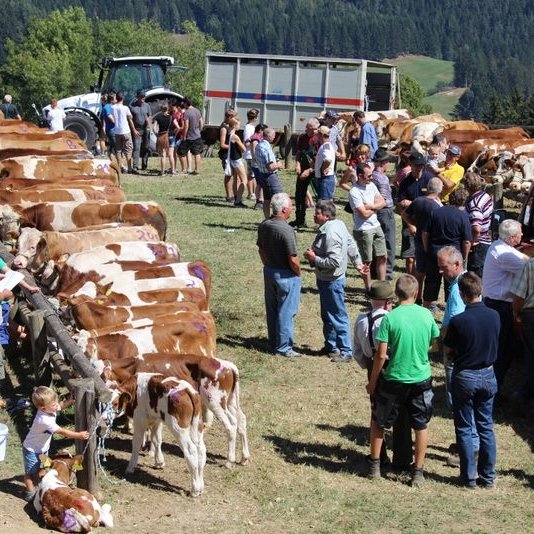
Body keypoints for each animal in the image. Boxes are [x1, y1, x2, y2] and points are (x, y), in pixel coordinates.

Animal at [96, 354, 251, 472]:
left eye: (101, 376)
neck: (135, 365)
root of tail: (227, 365)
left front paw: (148, 450)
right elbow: (155, 436)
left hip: (215, 403)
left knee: (230, 426)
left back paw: (230, 461)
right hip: (230, 403)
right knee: (241, 421)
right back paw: (244, 457)